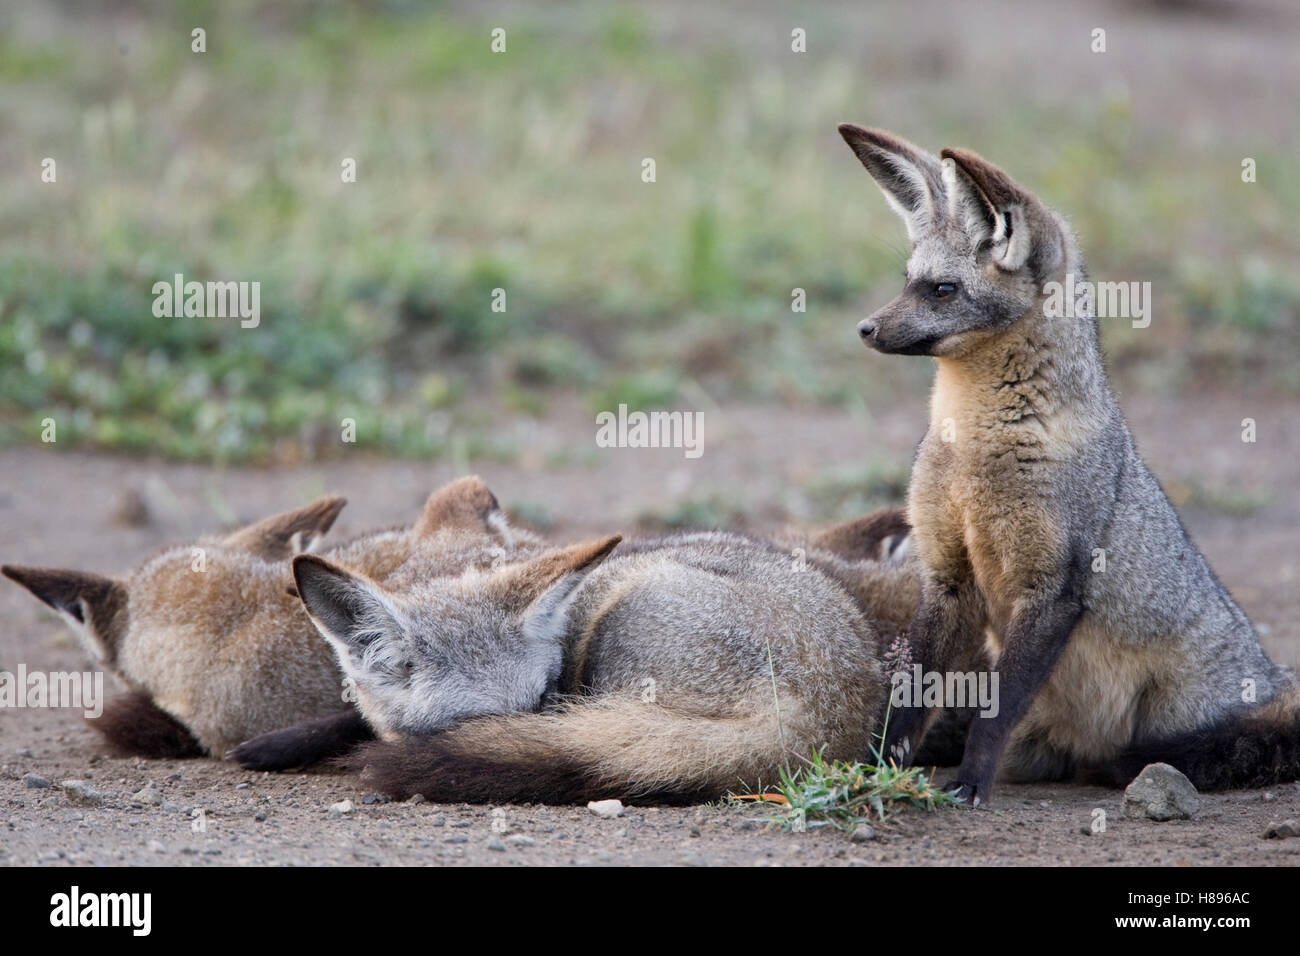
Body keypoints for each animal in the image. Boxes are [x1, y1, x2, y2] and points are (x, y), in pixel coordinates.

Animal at [837, 123, 1300, 805]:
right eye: (907, 280)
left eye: (943, 290)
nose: (866, 328)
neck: (974, 450)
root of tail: (1269, 672)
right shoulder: (946, 576)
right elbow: (909, 695)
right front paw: (874, 771)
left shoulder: (1052, 587)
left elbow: (994, 711)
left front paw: (969, 784)